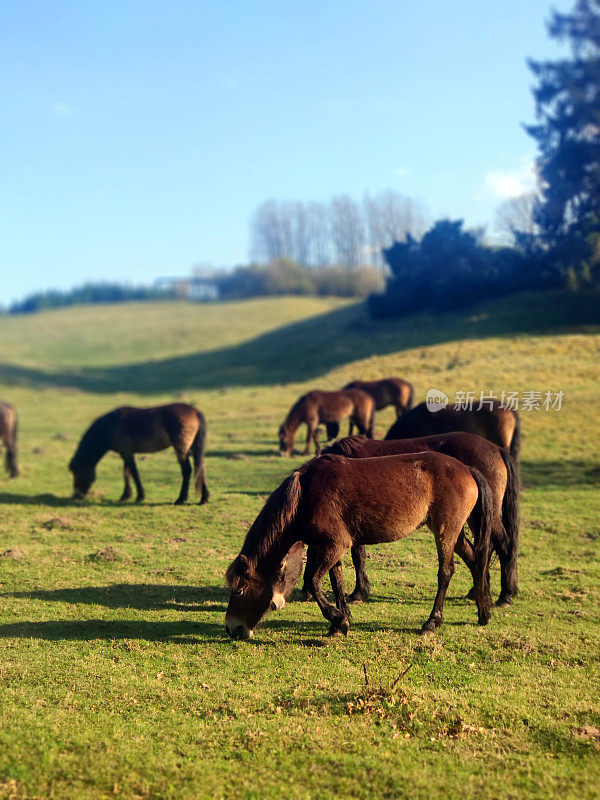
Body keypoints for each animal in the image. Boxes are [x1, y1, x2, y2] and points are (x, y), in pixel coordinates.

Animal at [67, 404, 209, 504]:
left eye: (77, 472)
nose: (76, 495)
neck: (109, 425)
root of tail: (195, 412)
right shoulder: (125, 453)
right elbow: (126, 473)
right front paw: (125, 495)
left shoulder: (127, 453)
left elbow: (133, 472)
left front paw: (140, 496)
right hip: (194, 448)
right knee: (200, 467)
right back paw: (204, 498)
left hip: (181, 449)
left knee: (187, 470)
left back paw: (181, 499)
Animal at [225, 454, 492, 640]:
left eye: (240, 590)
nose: (231, 628)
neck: (304, 496)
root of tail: (467, 469)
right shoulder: (331, 548)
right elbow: (336, 581)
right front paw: (341, 619)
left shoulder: (336, 545)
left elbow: (313, 580)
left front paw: (338, 620)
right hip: (455, 533)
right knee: (475, 560)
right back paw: (483, 611)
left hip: (445, 532)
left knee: (446, 572)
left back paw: (432, 623)